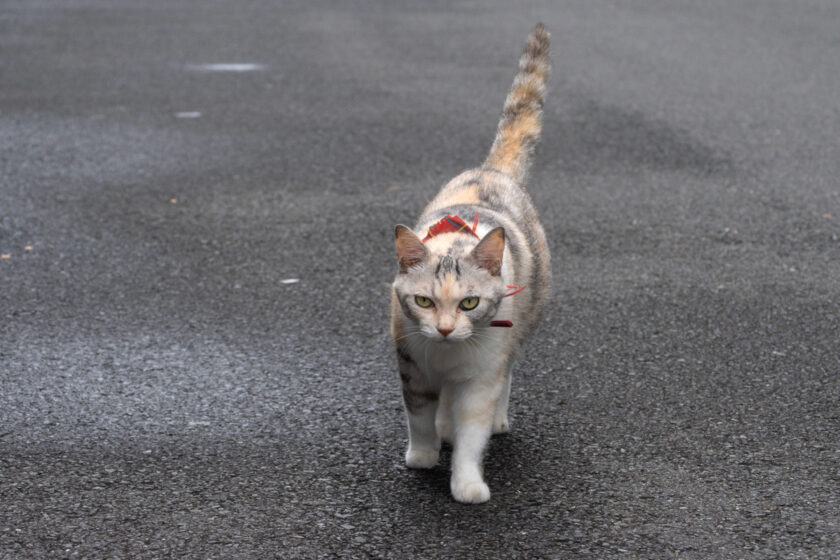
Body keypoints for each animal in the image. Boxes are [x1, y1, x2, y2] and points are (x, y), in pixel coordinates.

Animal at [388, 23, 552, 504]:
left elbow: (472, 432)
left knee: (507, 374)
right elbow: (419, 418)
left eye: (469, 303)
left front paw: (467, 485)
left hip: (521, 329)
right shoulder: (411, 363)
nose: (444, 330)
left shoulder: (481, 376)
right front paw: (423, 455)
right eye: (424, 301)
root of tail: (490, 171)